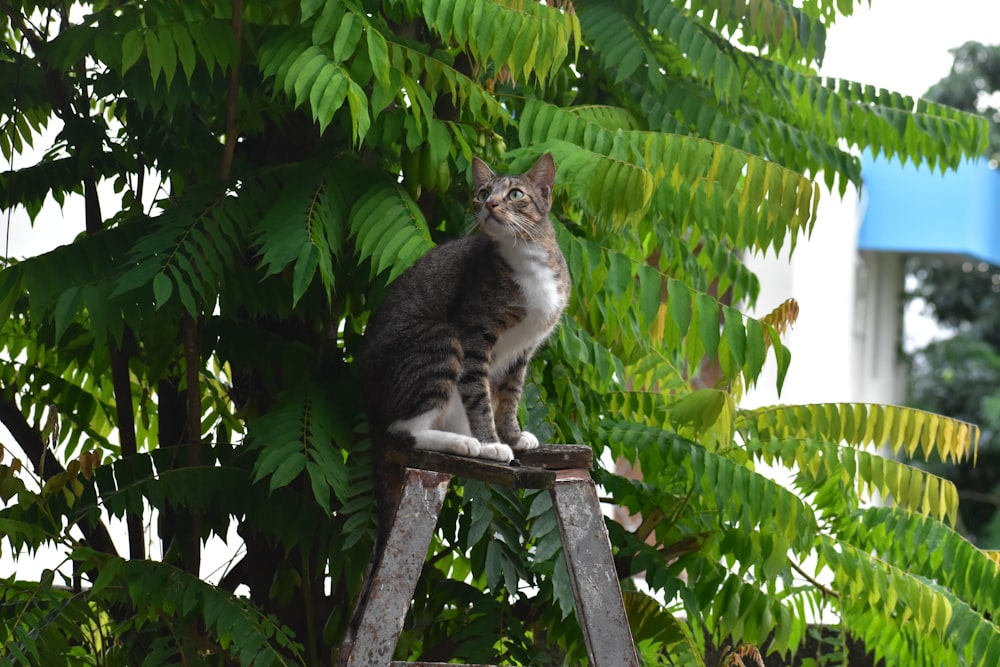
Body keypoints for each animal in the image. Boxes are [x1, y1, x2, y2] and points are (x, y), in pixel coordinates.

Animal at [364, 152, 572, 468]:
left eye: (515, 194)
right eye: (483, 193)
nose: (490, 204)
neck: (527, 255)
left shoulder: (524, 349)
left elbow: (512, 394)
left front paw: (514, 436)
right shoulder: (474, 332)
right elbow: (478, 395)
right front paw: (492, 443)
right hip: (440, 340)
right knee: (403, 428)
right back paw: (465, 443)